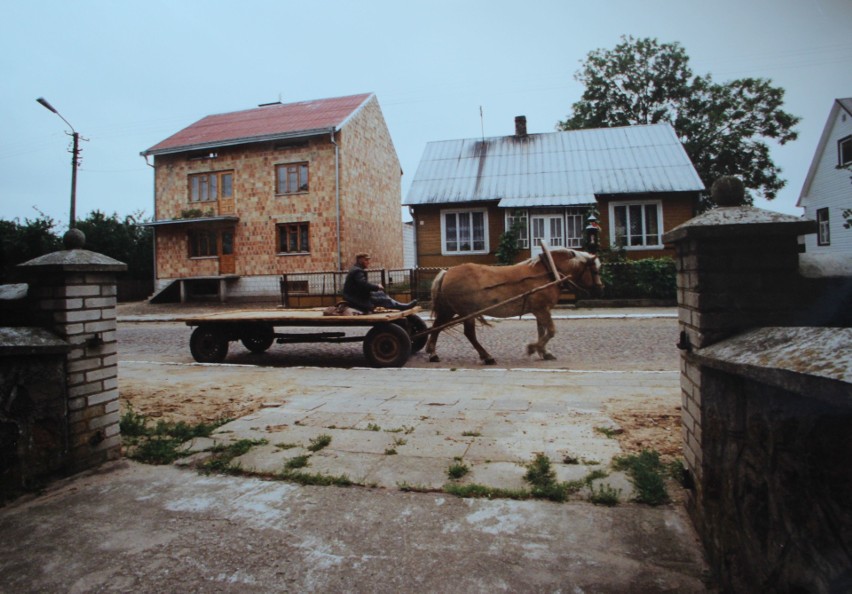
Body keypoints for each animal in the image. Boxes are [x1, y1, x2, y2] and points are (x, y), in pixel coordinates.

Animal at [424, 247, 600, 364]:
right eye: (595, 271)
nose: (600, 288)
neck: (548, 272)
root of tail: (447, 272)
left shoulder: (539, 310)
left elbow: (542, 331)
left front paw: (543, 351)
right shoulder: (542, 310)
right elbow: (550, 331)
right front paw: (532, 348)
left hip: (449, 310)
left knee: (437, 327)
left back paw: (433, 352)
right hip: (465, 312)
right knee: (467, 333)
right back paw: (486, 356)